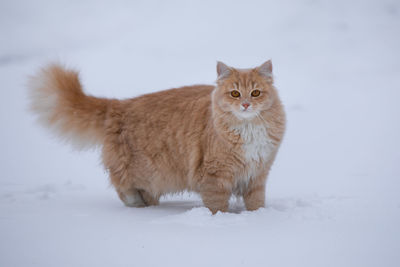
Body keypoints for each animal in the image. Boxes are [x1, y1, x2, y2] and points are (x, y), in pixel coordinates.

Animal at [28, 60, 284, 214]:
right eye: (234, 93)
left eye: (255, 93)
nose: (246, 104)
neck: (249, 129)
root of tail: (119, 105)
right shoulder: (215, 175)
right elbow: (216, 205)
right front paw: (220, 219)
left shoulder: (258, 173)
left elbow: (255, 202)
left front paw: (257, 217)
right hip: (146, 171)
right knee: (121, 185)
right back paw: (136, 205)